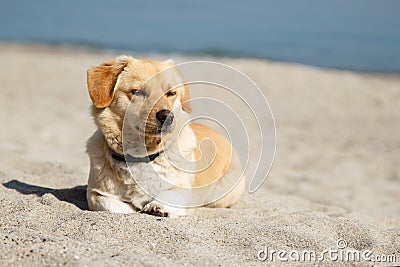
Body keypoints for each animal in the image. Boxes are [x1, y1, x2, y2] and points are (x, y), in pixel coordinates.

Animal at [85, 56, 244, 218]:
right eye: (138, 92)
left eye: (171, 93)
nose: (167, 116)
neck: (141, 155)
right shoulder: (94, 193)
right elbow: (110, 204)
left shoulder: (183, 191)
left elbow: (170, 195)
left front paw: (158, 206)